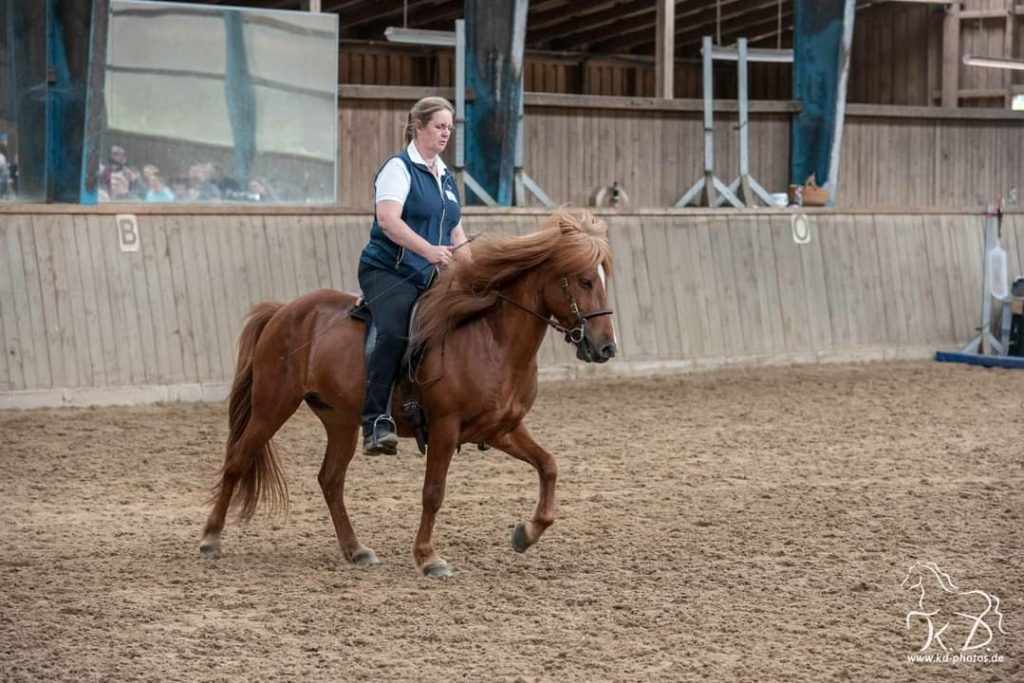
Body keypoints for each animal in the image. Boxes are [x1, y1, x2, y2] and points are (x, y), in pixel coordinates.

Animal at [198, 208, 614, 577]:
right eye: (584, 281)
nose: (606, 349)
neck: (492, 340)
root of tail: (284, 310)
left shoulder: (500, 429)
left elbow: (549, 465)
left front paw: (526, 533)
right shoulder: (445, 428)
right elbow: (433, 491)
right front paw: (429, 557)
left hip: (340, 420)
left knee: (330, 480)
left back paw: (356, 549)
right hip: (272, 406)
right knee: (237, 460)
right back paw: (210, 538)